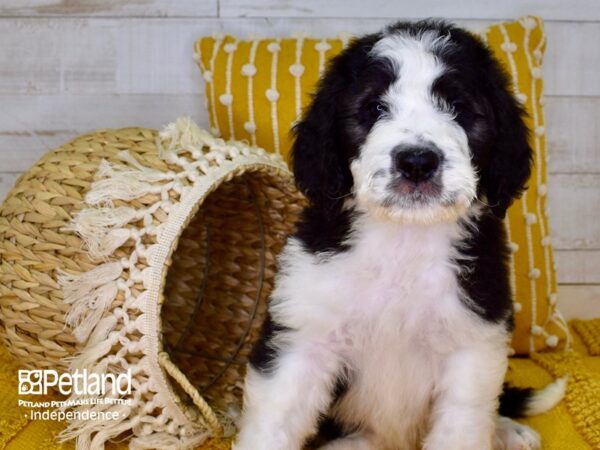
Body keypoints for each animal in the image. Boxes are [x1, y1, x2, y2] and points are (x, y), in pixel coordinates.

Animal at [233, 19, 564, 448]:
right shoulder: (303, 336)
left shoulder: (473, 342)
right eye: (374, 108)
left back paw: (509, 430)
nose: (417, 162)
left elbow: (462, 426)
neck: (404, 241)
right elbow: (274, 421)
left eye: (457, 107)